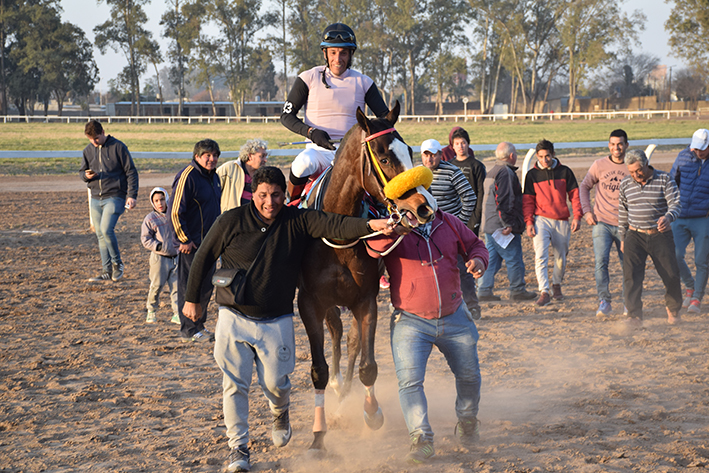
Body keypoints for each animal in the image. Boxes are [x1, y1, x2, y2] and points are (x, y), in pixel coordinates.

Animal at [294, 100, 436, 450]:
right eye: (383, 157)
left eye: (409, 150)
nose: (424, 206)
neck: (336, 228)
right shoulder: (310, 303)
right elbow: (318, 368)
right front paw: (319, 434)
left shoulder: (366, 299)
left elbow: (368, 365)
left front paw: (372, 414)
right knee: (336, 332)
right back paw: (337, 387)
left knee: (353, 340)